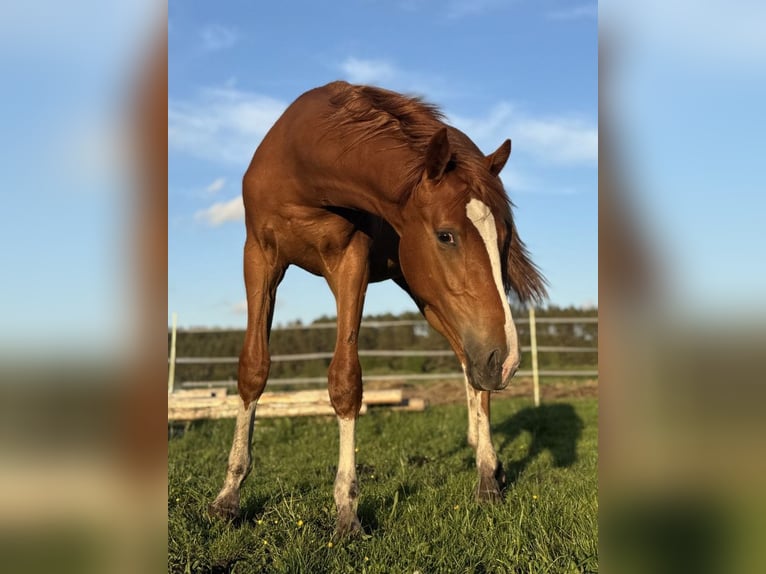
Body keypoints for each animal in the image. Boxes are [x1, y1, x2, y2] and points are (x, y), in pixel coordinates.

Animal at [209, 81, 547, 536]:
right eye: (446, 235)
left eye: (505, 237)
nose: (507, 360)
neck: (303, 167)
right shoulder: (259, 259)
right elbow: (252, 369)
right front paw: (228, 496)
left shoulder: (351, 261)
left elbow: (345, 380)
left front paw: (346, 510)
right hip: (430, 298)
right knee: (469, 365)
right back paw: (484, 451)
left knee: (475, 376)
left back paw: (486, 475)